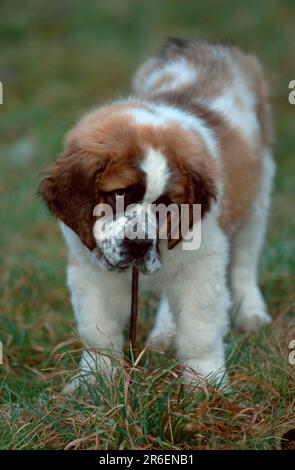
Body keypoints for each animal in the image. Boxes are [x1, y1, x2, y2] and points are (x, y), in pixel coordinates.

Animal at [38, 38, 276, 392]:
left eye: (165, 203)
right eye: (120, 194)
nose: (138, 245)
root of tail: (205, 44)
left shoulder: (203, 264)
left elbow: (199, 330)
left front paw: (207, 383)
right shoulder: (89, 267)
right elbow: (98, 330)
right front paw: (93, 380)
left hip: (258, 195)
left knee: (245, 260)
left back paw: (251, 312)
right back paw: (164, 331)